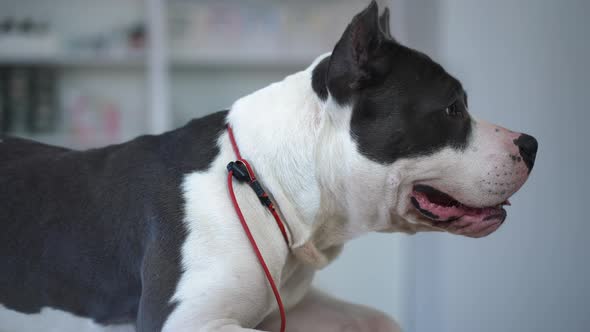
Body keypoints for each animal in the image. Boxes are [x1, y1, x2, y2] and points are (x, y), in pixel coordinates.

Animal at [1, 2, 536, 332]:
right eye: (453, 108)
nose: (532, 143)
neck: (263, 183)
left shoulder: (287, 307)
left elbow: (376, 318)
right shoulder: (184, 320)